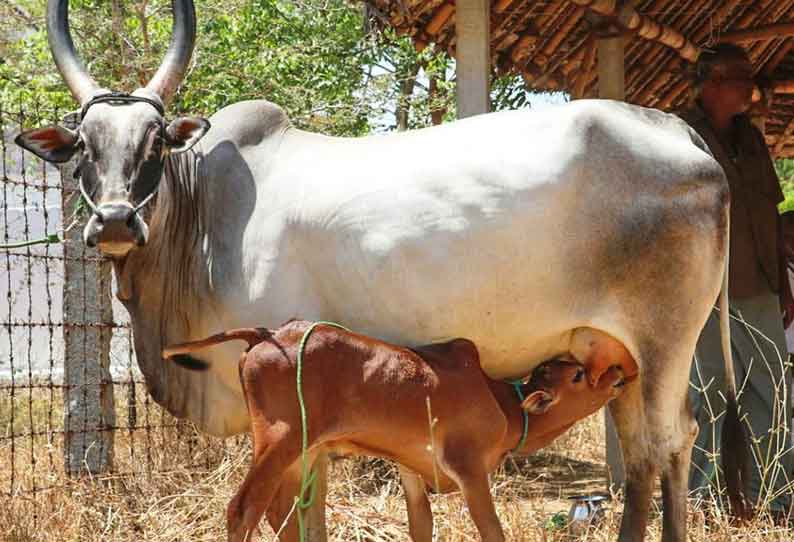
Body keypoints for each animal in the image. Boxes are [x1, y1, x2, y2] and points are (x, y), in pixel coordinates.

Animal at [164, 324, 628, 542]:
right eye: (579, 376)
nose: (620, 374)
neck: (504, 404)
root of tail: (268, 334)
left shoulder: (411, 470)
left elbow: (421, 526)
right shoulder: (469, 469)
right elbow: (491, 529)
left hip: (303, 452)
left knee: (282, 512)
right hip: (279, 440)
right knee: (244, 509)